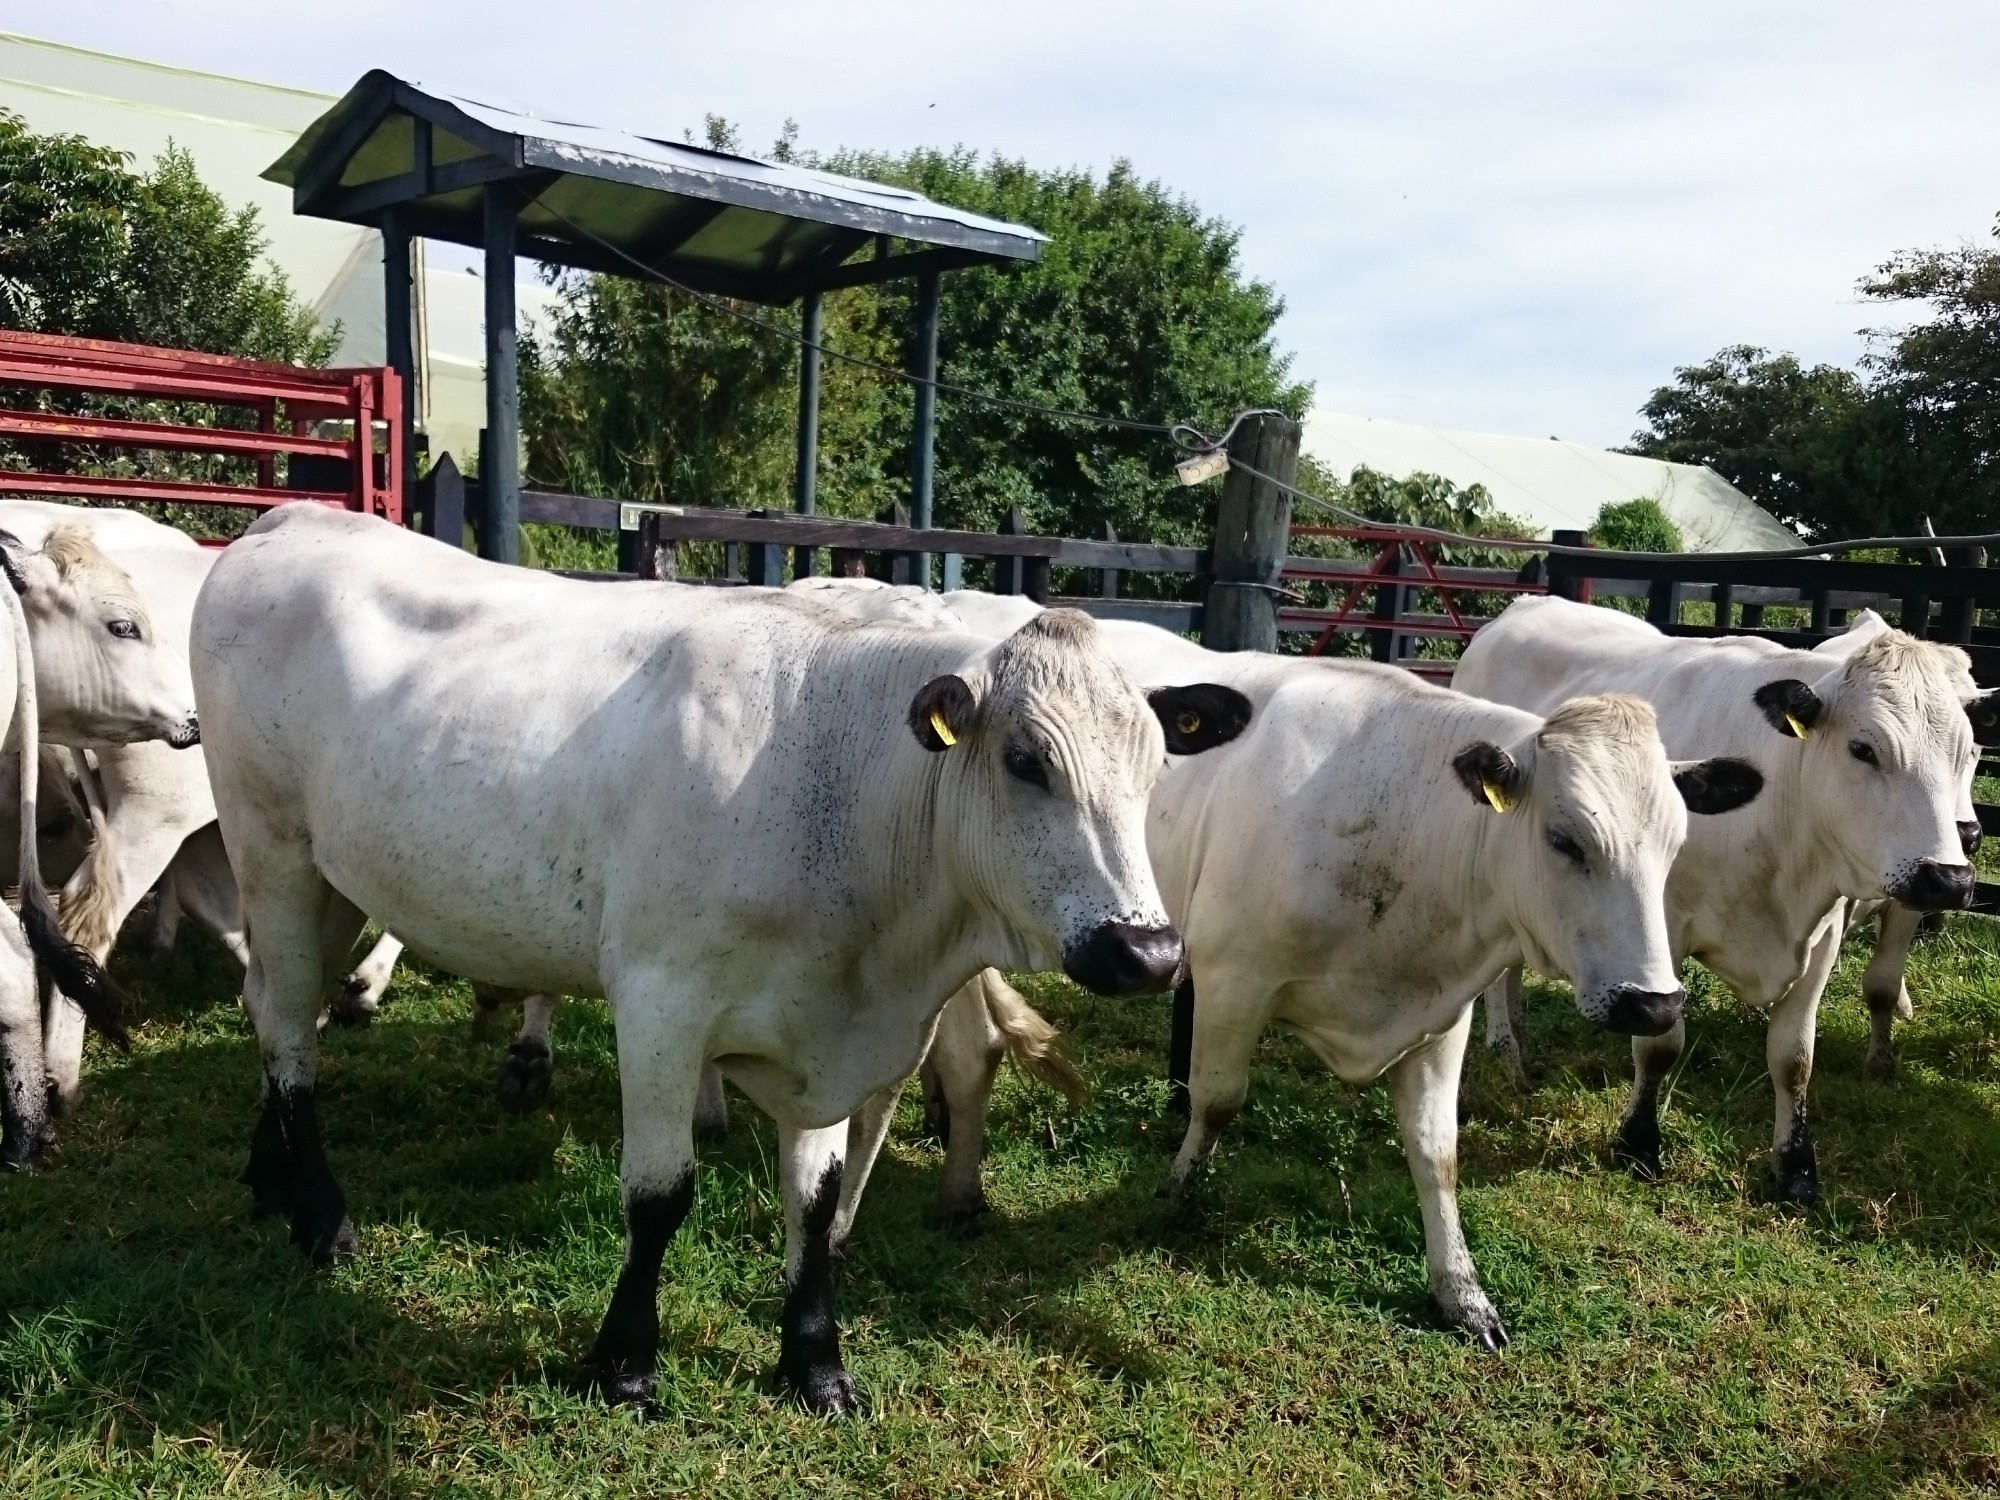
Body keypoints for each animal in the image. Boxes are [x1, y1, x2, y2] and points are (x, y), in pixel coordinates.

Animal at [191, 508, 1248, 1424]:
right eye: (1027, 761)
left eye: (1157, 765)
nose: (1148, 950)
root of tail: (295, 519)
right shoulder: (661, 1004)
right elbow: (660, 1194)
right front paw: (626, 1362)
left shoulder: (823, 1035)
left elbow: (814, 1204)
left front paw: (815, 1364)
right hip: (269, 844)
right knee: (288, 1030)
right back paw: (320, 1217)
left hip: (334, 871)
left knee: (273, 1003)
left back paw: (266, 1172)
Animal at [788, 584, 1760, 1352]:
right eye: (1565, 840)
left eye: (1675, 844)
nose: (1652, 1003)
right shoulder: (1231, 976)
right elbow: (1218, 1098)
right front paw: (1177, 1188)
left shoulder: (1442, 1012)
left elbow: (1438, 1153)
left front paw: (1462, 1292)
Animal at [1448, 592, 1976, 1208]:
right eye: (1863, 748)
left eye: (1968, 750)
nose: (1949, 878)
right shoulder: (1662, 933)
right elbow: (1658, 1046)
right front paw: (1638, 1145)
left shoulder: (1822, 935)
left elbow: (1794, 1059)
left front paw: (1796, 1169)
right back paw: (1507, 1048)